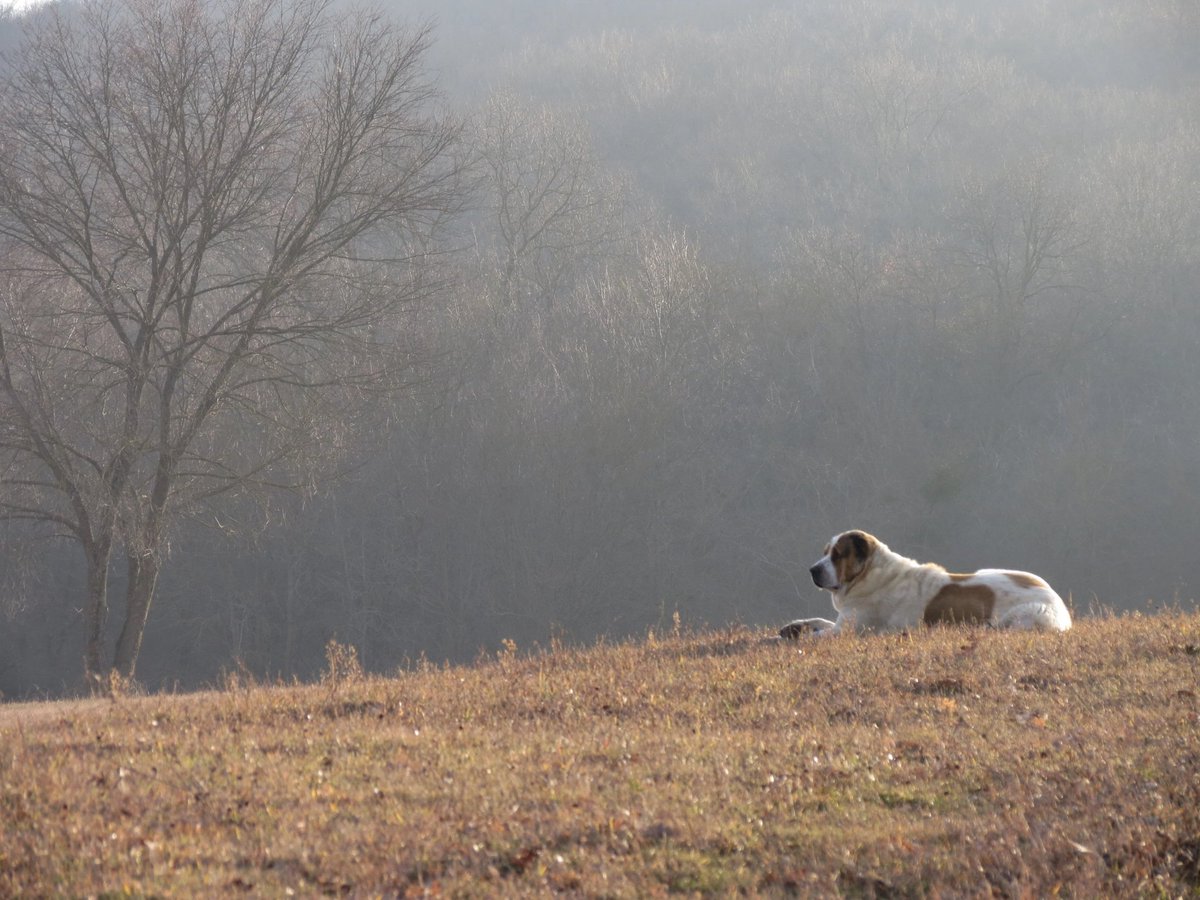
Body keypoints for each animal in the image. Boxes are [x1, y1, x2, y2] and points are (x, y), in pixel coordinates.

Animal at [782, 528, 1075, 643]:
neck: (870, 573)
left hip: (1019, 618)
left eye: (838, 554)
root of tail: (1058, 602)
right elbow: (819, 621)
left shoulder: (848, 630)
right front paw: (793, 627)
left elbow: (818, 635)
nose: (813, 570)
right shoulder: (844, 621)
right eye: (825, 552)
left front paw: (792, 637)